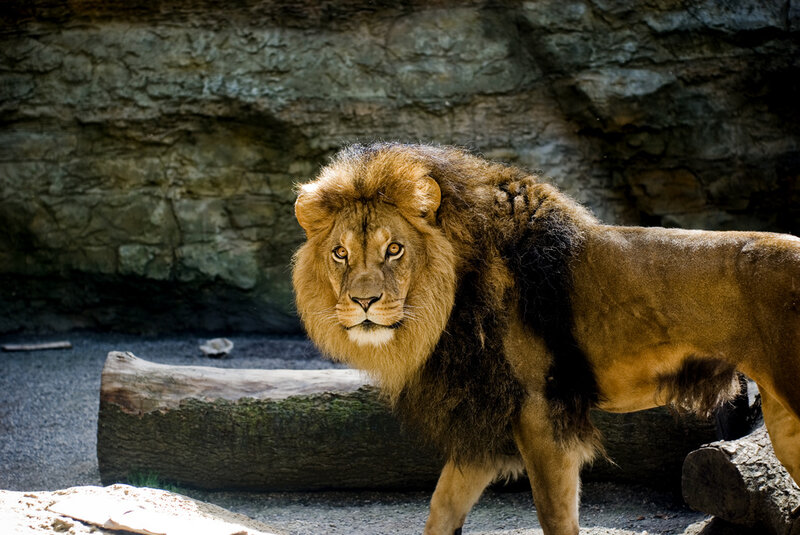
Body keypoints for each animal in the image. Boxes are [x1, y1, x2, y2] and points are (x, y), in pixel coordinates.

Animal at [292, 143, 800, 535]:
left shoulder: (542, 411)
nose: (363, 301)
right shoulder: (486, 419)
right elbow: (441, 509)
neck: (449, 300)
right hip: (783, 421)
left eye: (394, 249)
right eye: (340, 254)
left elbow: (555, 517)